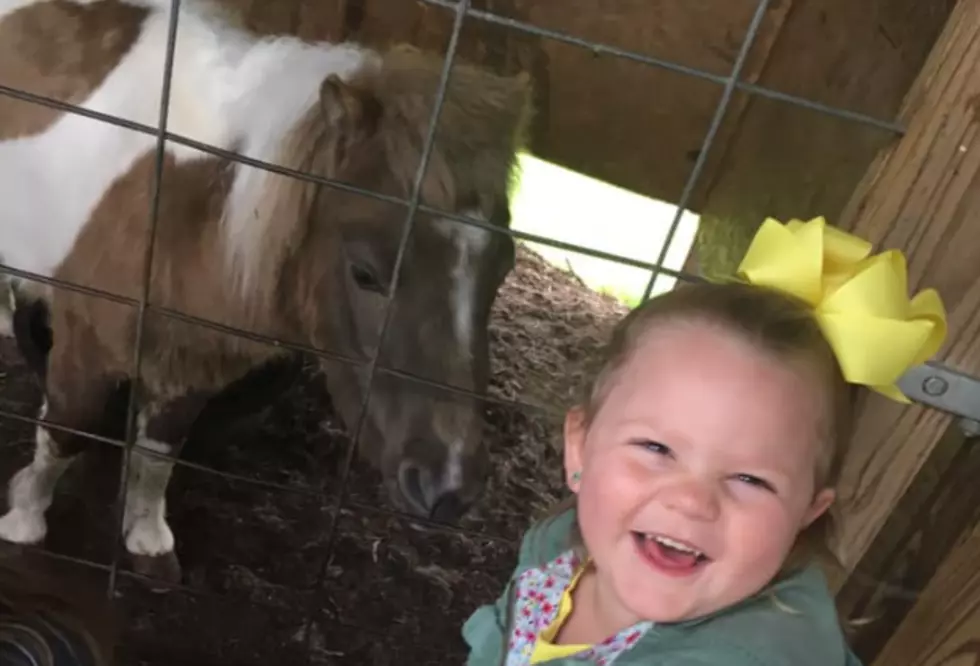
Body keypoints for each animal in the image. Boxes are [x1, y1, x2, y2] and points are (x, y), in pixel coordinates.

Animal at [0, 0, 532, 580]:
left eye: (503, 266)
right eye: (364, 272)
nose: (449, 488)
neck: (187, 203)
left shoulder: (194, 361)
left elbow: (159, 451)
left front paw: (147, 537)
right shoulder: (85, 345)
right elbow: (67, 431)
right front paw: (24, 517)